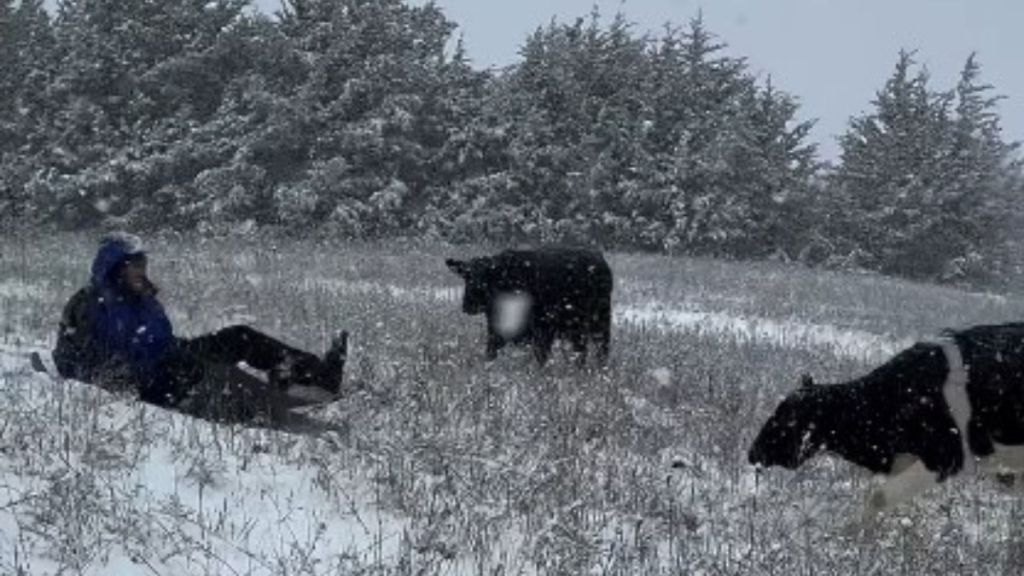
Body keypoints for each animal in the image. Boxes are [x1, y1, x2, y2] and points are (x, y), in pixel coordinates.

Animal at [444, 245, 610, 362]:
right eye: (466, 277)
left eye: (484, 277)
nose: (468, 305)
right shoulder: (495, 327)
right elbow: (491, 350)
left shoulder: (541, 328)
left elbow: (540, 355)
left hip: (595, 322)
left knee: (595, 351)